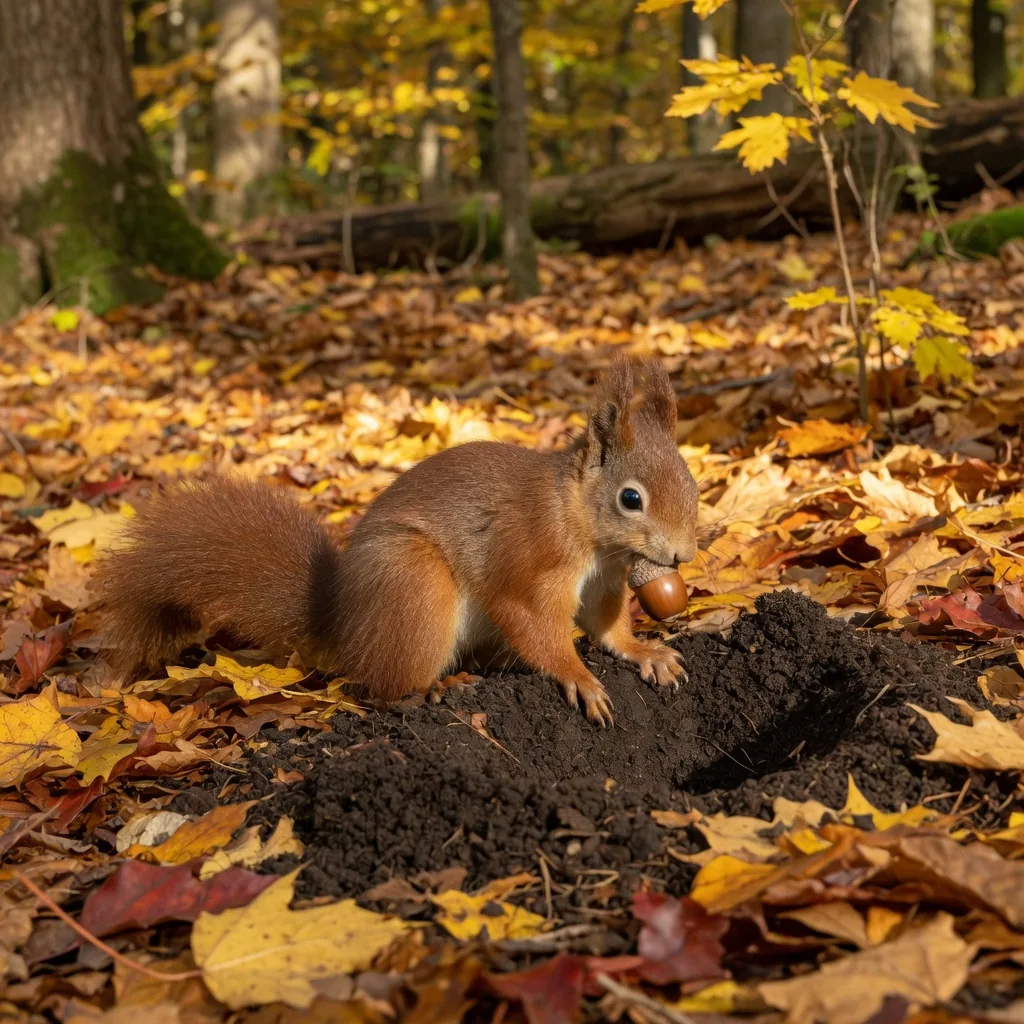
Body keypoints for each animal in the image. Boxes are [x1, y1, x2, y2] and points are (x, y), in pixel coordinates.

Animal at [96, 356, 699, 726]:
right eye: (630, 499)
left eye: (692, 481)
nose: (682, 555)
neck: (583, 527)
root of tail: (344, 623)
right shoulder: (530, 559)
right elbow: (534, 625)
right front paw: (581, 679)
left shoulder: (604, 582)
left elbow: (606, 627)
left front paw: (645, 653)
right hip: (413, 581)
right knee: (381, 687)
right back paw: (435, 688)